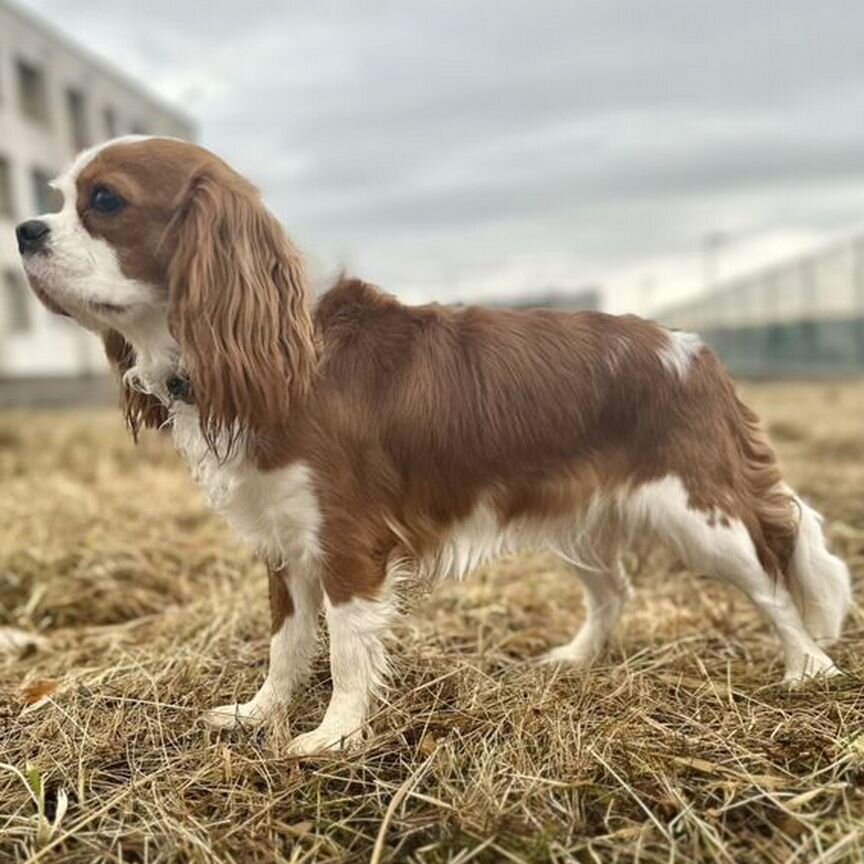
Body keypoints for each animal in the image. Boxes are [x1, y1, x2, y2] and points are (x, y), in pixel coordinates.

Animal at [13, 138, 852, 752]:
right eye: (57, 198)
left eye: (105, 201)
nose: (22, 230)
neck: (283, 348)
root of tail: (697, 351)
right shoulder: (285, 543)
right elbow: (285, 643)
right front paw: (259, 714)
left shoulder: (349, 542)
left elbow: (346, 650)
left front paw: (332, 737)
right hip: (578, 518)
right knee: (615, 590)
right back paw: (575, 661)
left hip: (699, 515)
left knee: (772, 583)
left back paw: (808, 666)